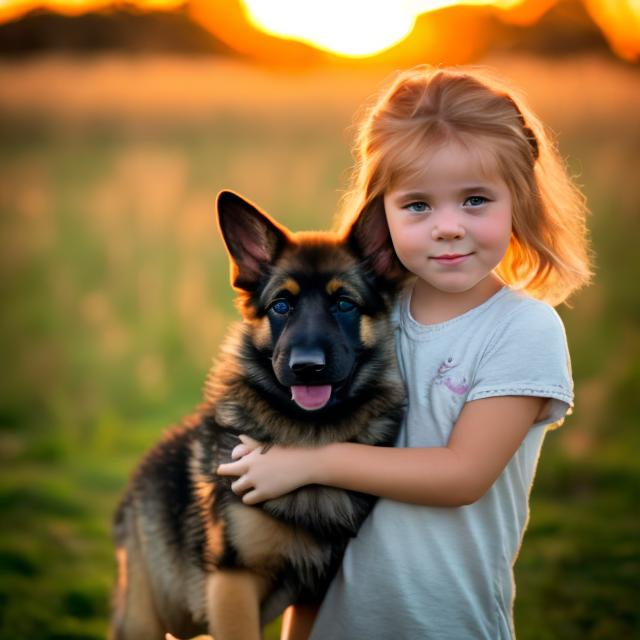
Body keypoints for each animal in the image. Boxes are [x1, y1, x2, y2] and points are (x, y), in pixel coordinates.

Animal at [110, 191, 404, 640]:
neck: (307, 442)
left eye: (344, 304)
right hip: (148, 615)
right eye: (281, 306)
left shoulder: (315, 596)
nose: (307, 367)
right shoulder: (233, 583)